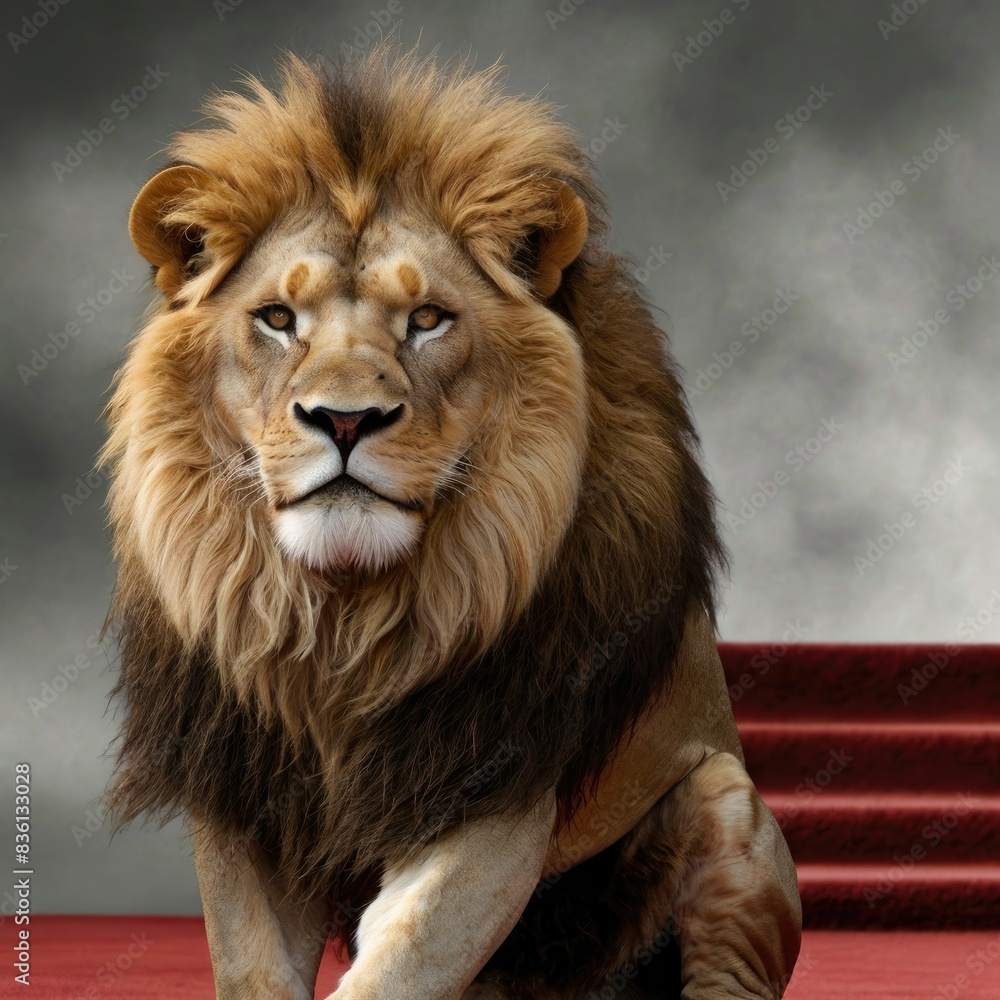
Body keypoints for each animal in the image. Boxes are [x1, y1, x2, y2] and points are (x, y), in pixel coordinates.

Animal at [102, 46, 801, 1000]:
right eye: (277, 319)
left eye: (427, 319)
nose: (345, 420)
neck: (342, 615)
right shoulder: (246, 793)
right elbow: (254, 970)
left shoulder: (495, 786)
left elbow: (400, 963)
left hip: (729, 800)